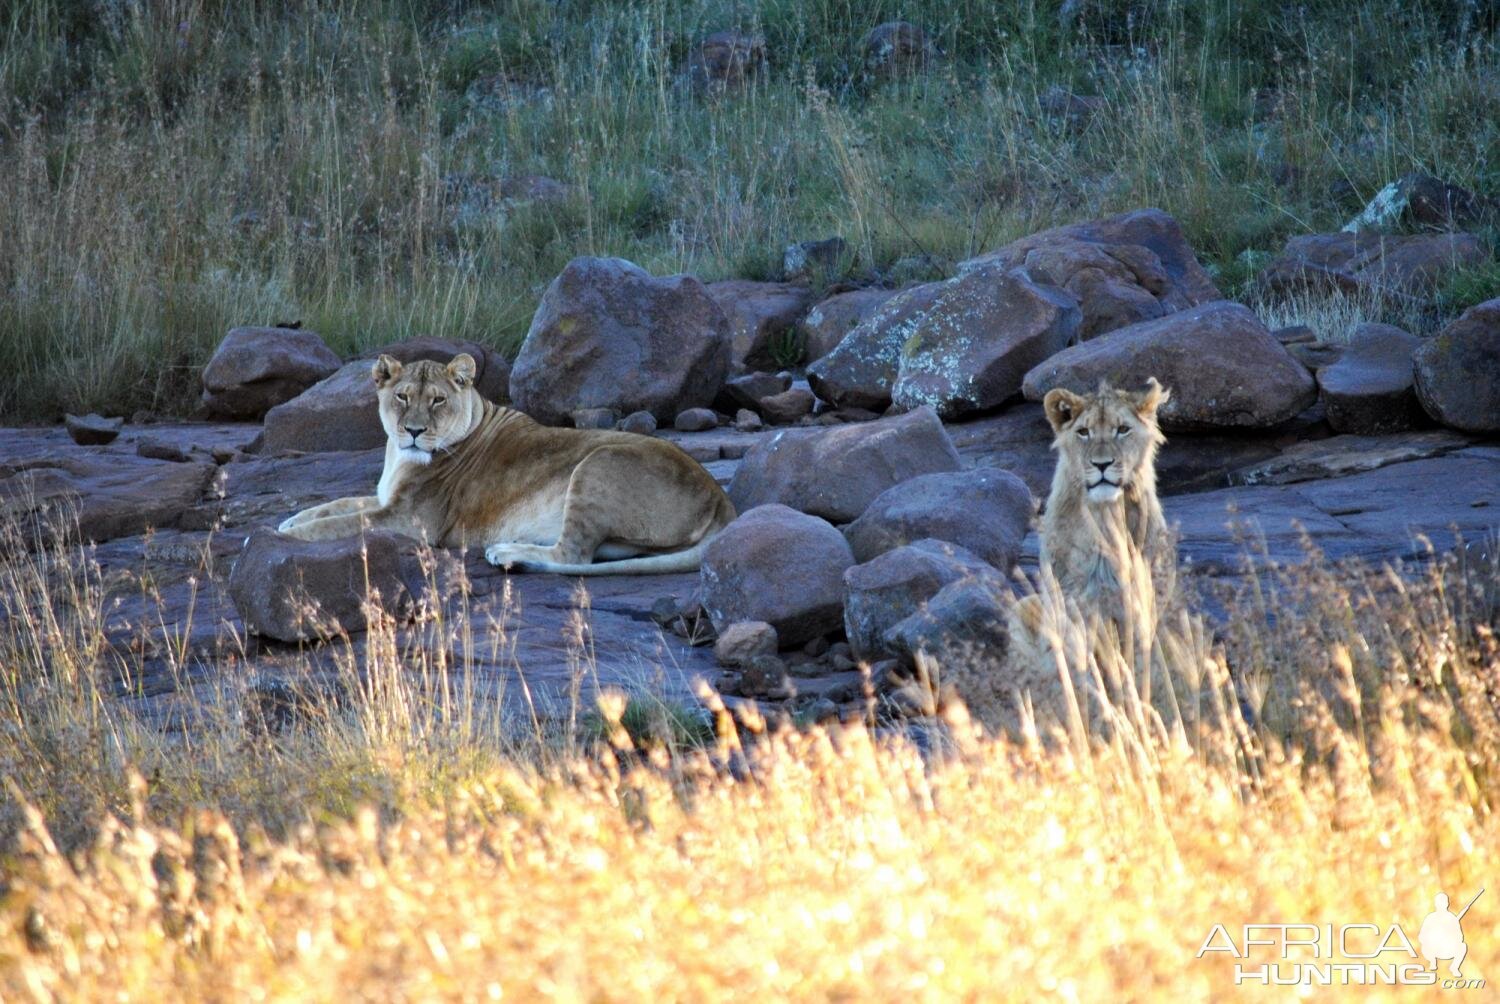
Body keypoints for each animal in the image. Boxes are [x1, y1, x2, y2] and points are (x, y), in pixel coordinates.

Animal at [277, 352, 738, 570]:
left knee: (573, 555)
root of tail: (721, 498)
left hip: (599, 463)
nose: (413, 431)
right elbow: (335, 506)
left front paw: (286, 538)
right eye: (403, 397)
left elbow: (339, 524)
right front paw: (289, 521)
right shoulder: (386, 499)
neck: (400, 457)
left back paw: (505, 552)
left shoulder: (411, 521)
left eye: (438, 400)